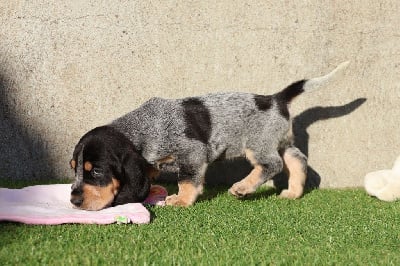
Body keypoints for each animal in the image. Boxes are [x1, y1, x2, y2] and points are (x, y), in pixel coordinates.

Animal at [69, 61, 350, 209]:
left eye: (96, 171)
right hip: (279, 140)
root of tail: (275, 99)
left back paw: (243, 187)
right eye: (74, 168)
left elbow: (187, 180)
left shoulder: (191, 153)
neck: (141, 129)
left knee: (273, 164)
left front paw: (181, 200)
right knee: (297, 159)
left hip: (258, 144)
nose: (73, 200)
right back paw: (294, 192)